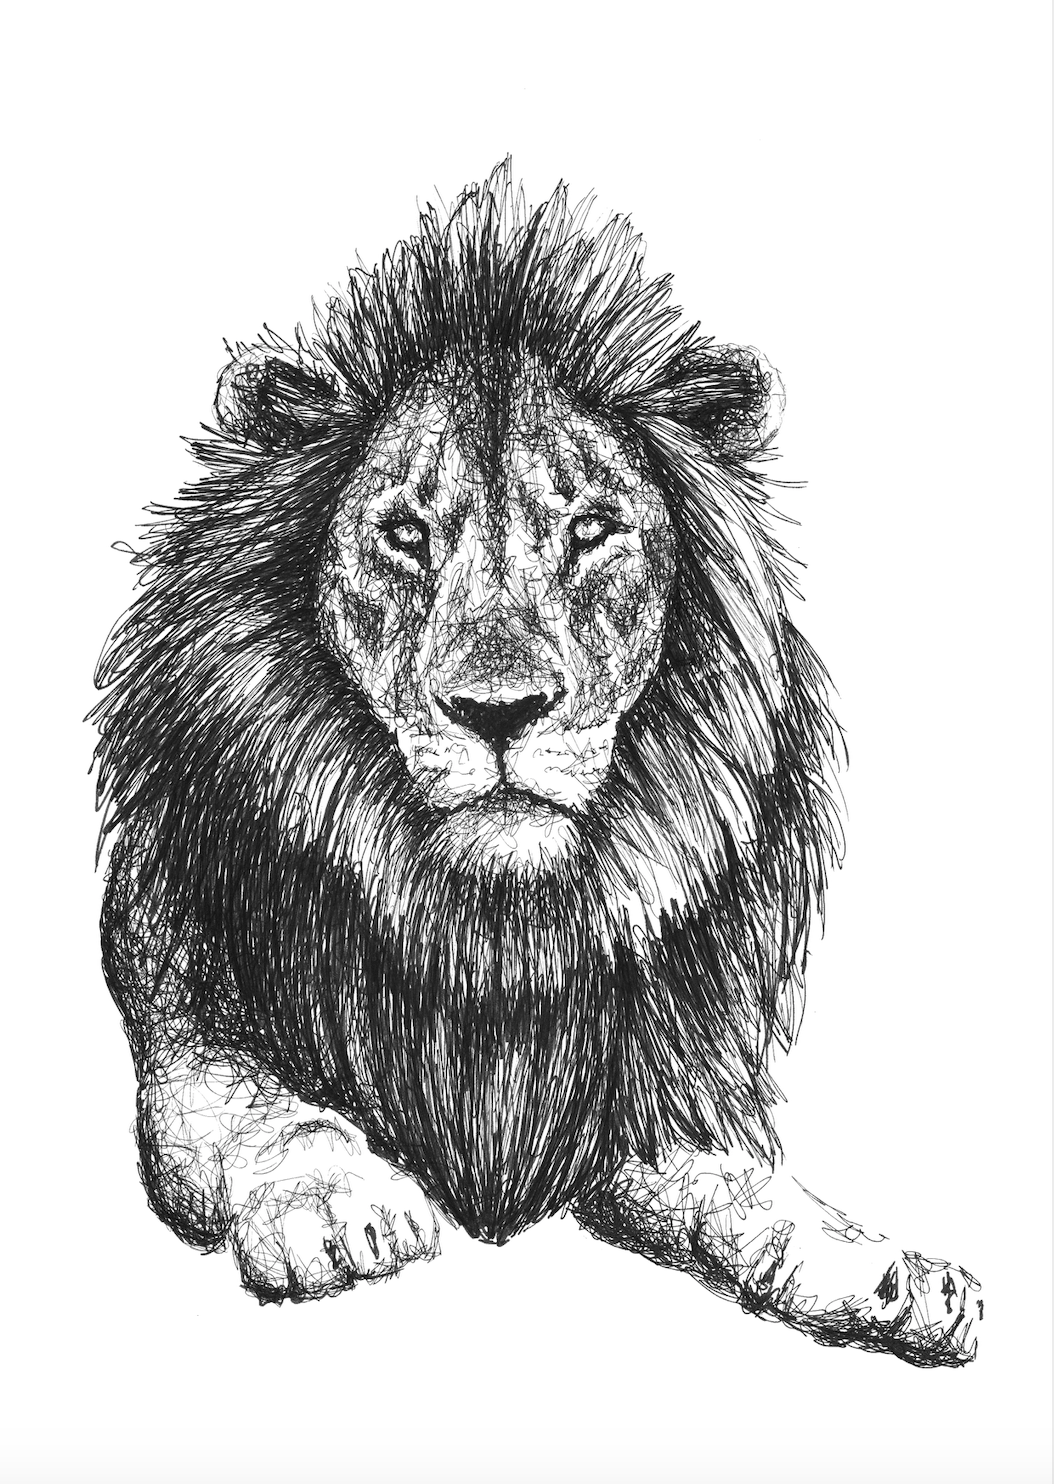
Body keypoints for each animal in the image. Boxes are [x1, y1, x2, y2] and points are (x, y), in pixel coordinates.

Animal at [93, 164, 981, 1366]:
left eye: (592, 528)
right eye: (406, 534)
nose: (498, 710)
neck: (493, 926)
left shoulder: (646, 1098)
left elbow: (752, 1193)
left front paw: (890, 1272)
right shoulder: (185, 991)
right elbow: (260, 1109)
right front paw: (341, 1205)